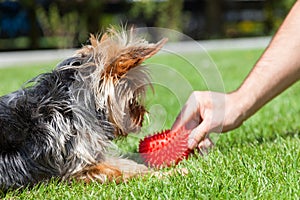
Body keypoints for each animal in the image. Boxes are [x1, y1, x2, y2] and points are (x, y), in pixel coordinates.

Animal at [0, 28, 166, 191]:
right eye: (132, 99)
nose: (142, 116)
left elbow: (123, 163)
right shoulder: (78, 169)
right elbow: (118, 171)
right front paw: (162, 174)